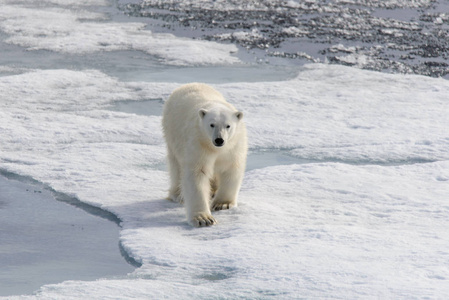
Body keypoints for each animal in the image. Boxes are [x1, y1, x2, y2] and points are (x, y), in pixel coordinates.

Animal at [161, 82, 247, 227]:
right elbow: (197, 173)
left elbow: (230, 168)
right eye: (212, 124)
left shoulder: (234, 145)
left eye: (228, 125)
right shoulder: (198, 143)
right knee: (176, 166)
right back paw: (178, 195)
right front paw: (203, 219)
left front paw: (223, 204)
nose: (219, 140)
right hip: (172, 133)